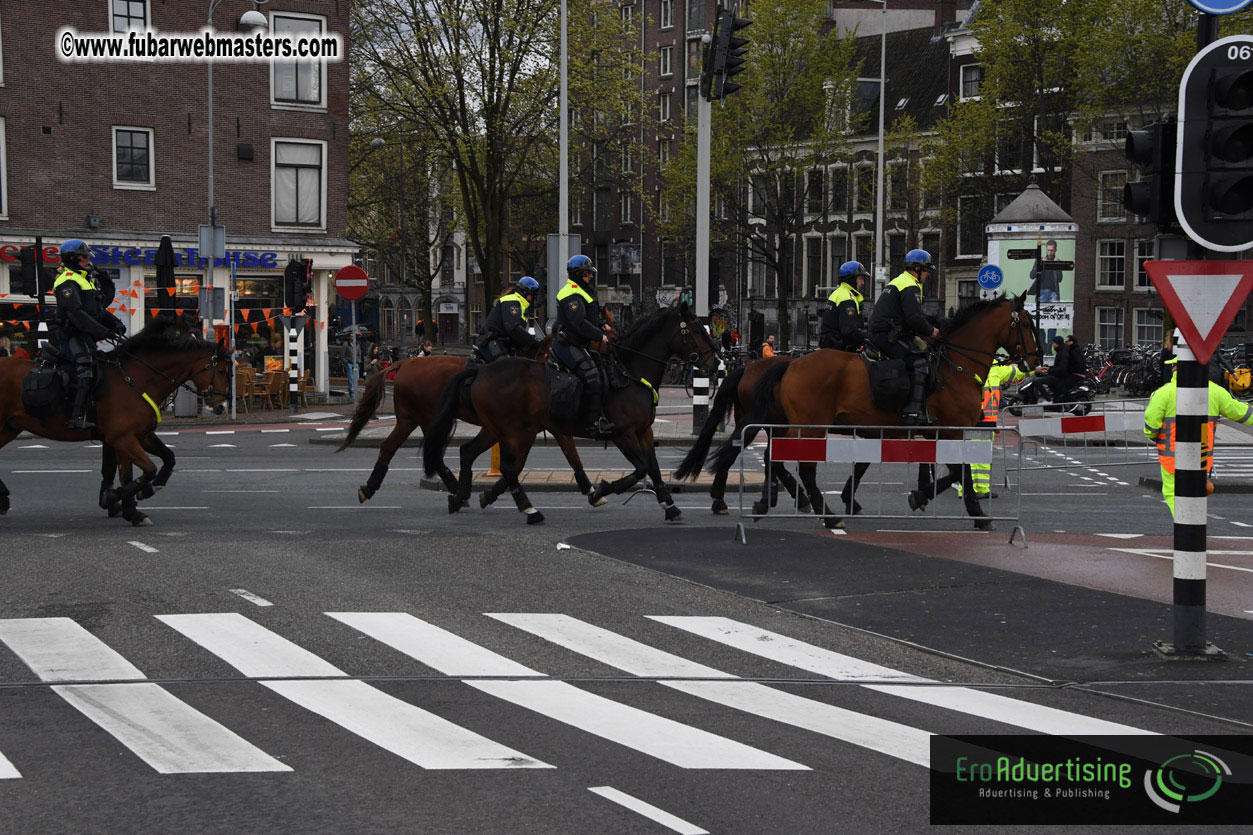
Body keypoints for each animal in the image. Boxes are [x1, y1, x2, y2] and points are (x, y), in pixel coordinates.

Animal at [0, 320, 234, 524]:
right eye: (222, 370)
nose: (221, 407)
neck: (136, 378)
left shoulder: (136, 436)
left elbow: (161, 461)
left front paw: (138, 504)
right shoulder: (122, 438)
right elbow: (146, 470)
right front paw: (114, 498)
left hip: (9, 428)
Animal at [340, 308, 618, 501]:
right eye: (610, 329)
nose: (616, 348)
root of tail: (404, 363)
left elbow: (572, 456)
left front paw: (590, 489)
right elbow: (564, 455)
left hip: (410, 419)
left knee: (391, 447)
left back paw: (371, 488)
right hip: (428, 419)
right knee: (430, 451)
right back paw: (454, 489)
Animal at [428, 302, 726, 524]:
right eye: (696, 329)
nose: (716, 361)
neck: (628, 371)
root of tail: (480, 372)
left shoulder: (644, 431)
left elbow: (652, 467)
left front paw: (669, 505)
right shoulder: (622, 433)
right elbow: (640, 468)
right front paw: (603, 489)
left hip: (497, 429)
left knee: (470, 452)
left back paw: (462, 497)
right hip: (516, 431)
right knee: (509, 467)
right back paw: (529, 510)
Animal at [711, 292, 1042, 526]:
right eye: (1026, 324)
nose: (1036, 361)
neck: (954, 365)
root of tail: (789, 363)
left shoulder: (915, 430)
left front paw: (918, 495)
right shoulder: (950, 429)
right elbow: (961, 471)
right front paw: (979, 515)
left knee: (774, 457)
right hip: (810, 427)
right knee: (797, 466)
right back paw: (824, 514)